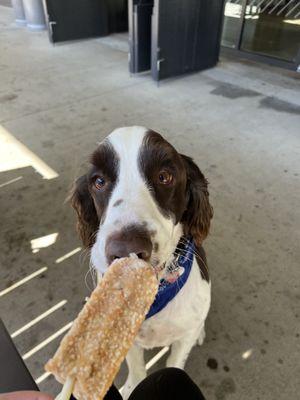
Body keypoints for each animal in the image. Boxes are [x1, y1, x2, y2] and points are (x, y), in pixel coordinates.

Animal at [69, 126, 213, 398]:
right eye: (99, 181)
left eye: (164, 176)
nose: (126, 249)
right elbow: (136, 368)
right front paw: (130, 387)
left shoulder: (183, 337)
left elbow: (175, 362)